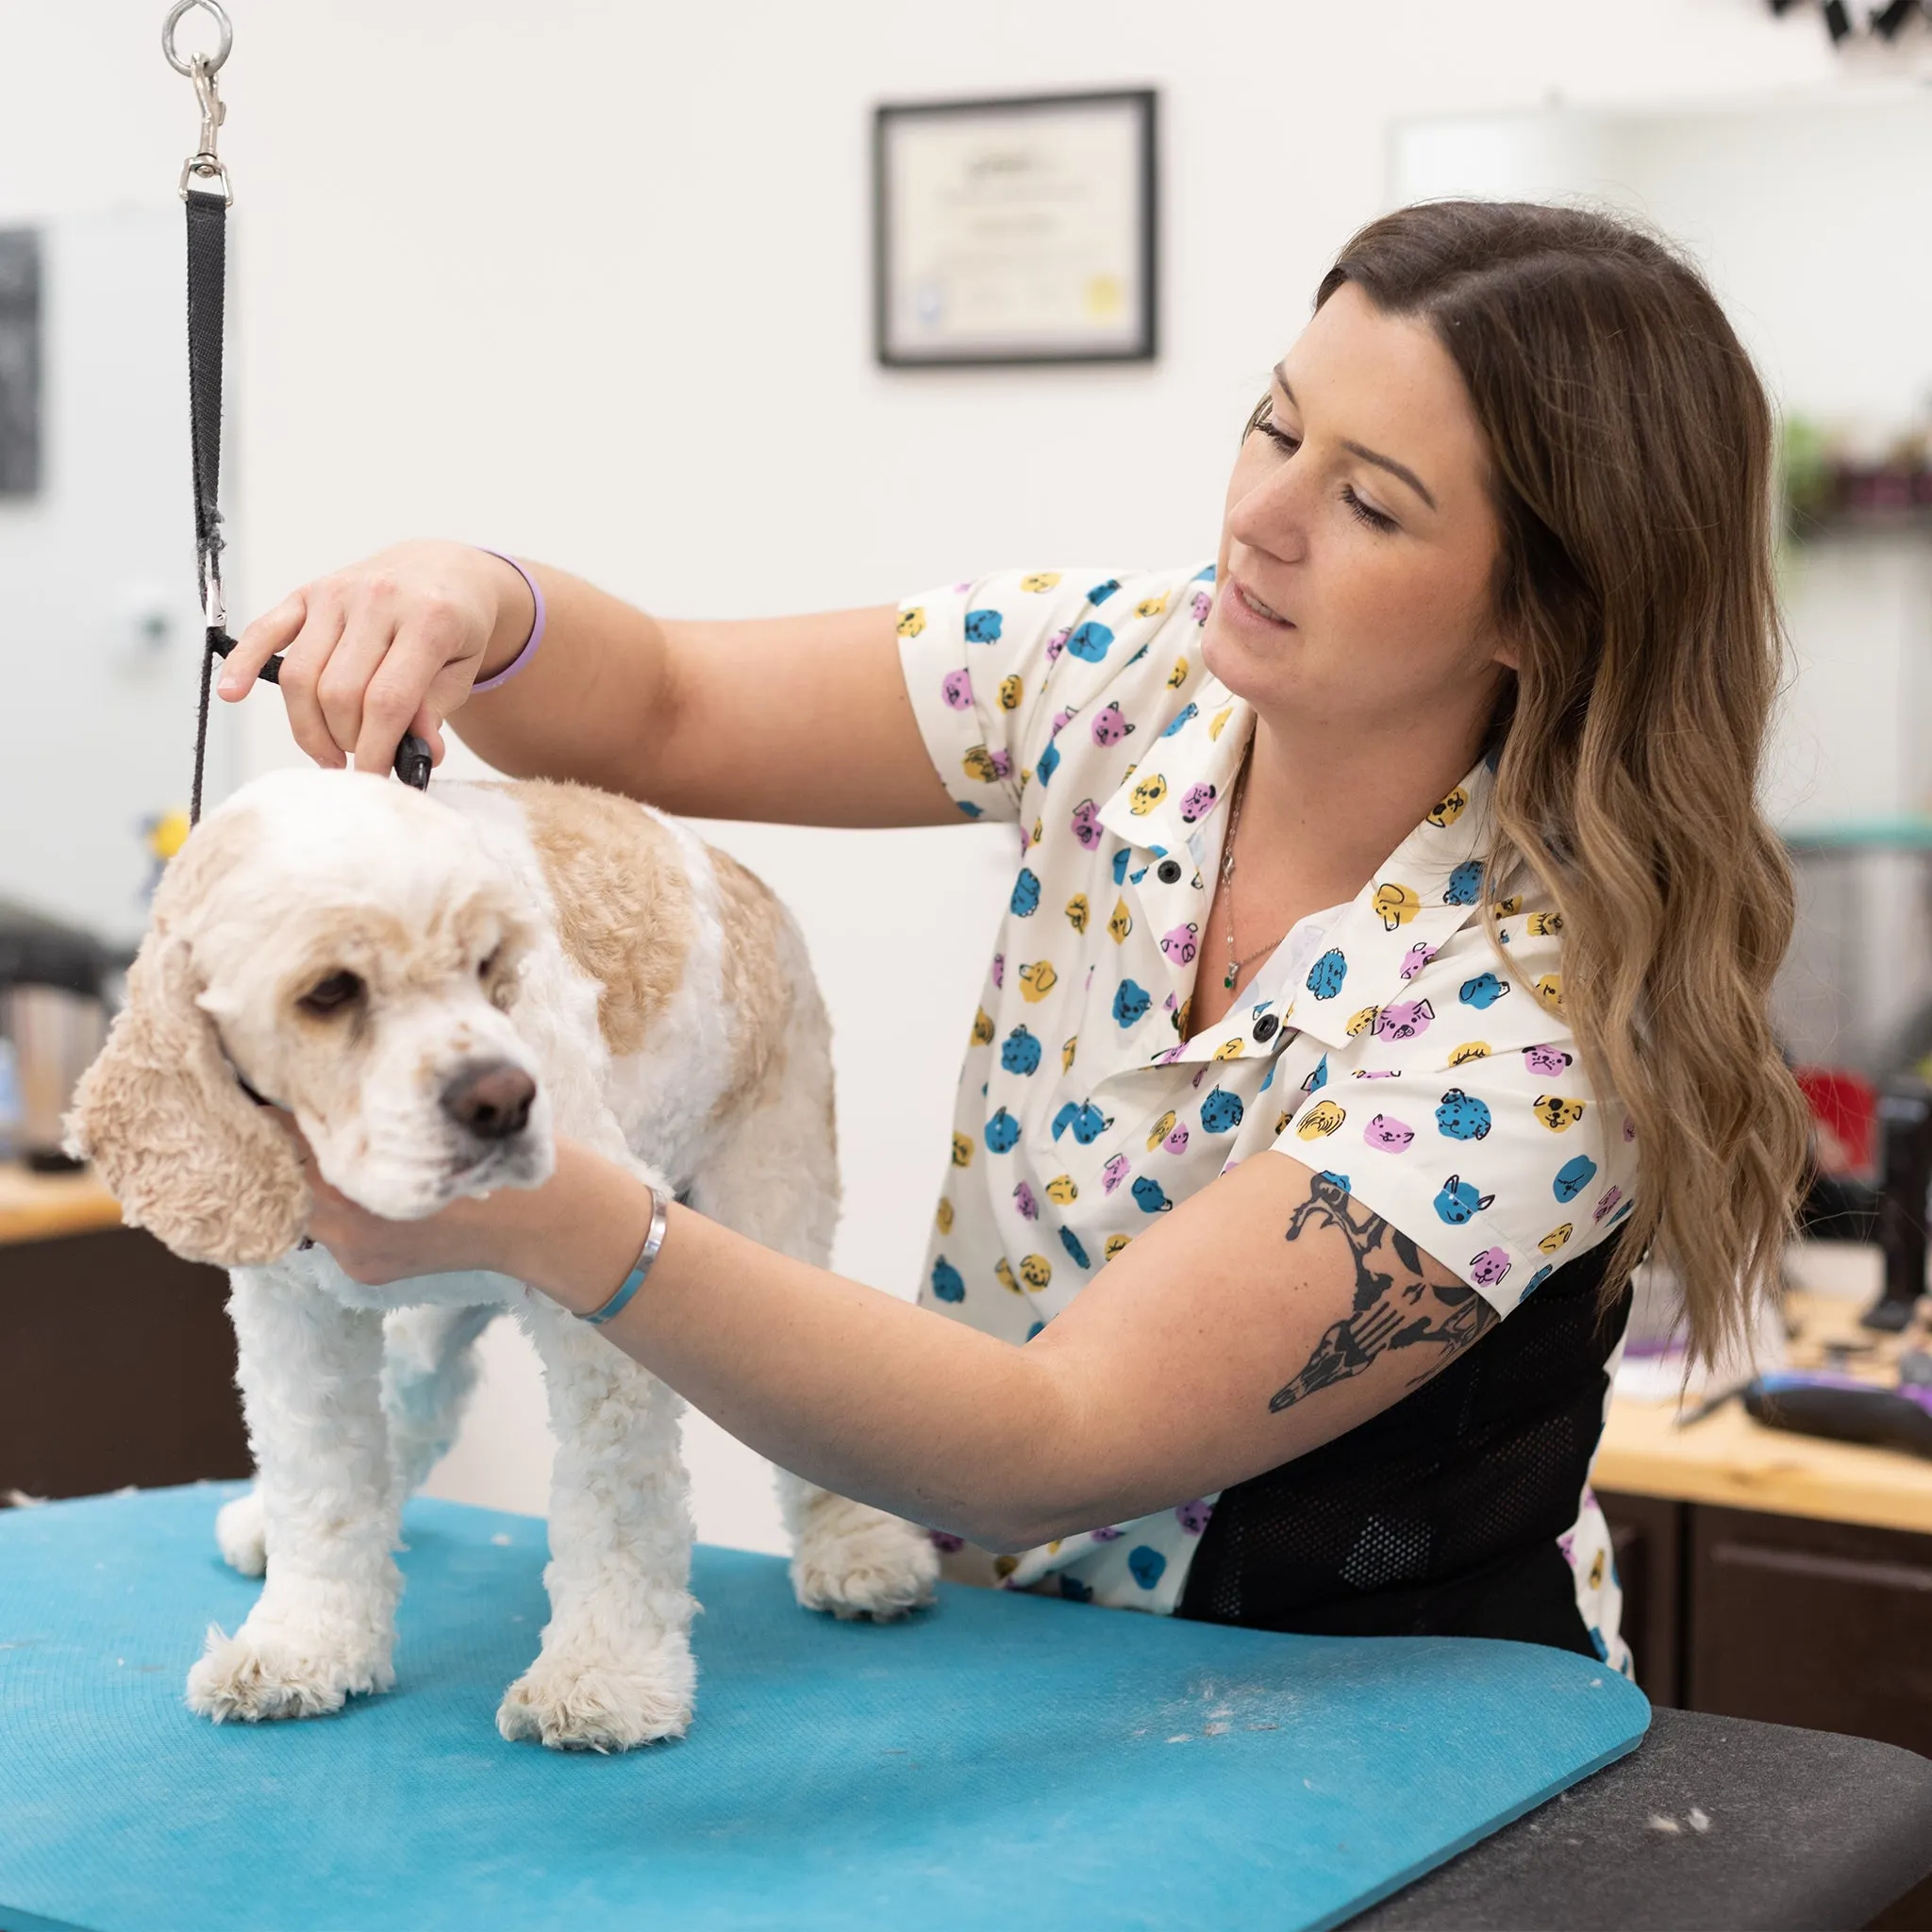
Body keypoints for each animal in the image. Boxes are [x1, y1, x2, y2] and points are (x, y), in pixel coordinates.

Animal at [62, 765, 935, 1754]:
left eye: (487, 969)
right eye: (329, 991)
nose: (505, 1099)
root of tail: (739, 870)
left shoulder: (604, 1311)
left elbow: (614, 1506)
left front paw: (604, 1676)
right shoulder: (294, 1308)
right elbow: (321, 1480)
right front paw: (306, 1647)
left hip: (772, 1192)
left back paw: (858, 1550)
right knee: (417, 1394)